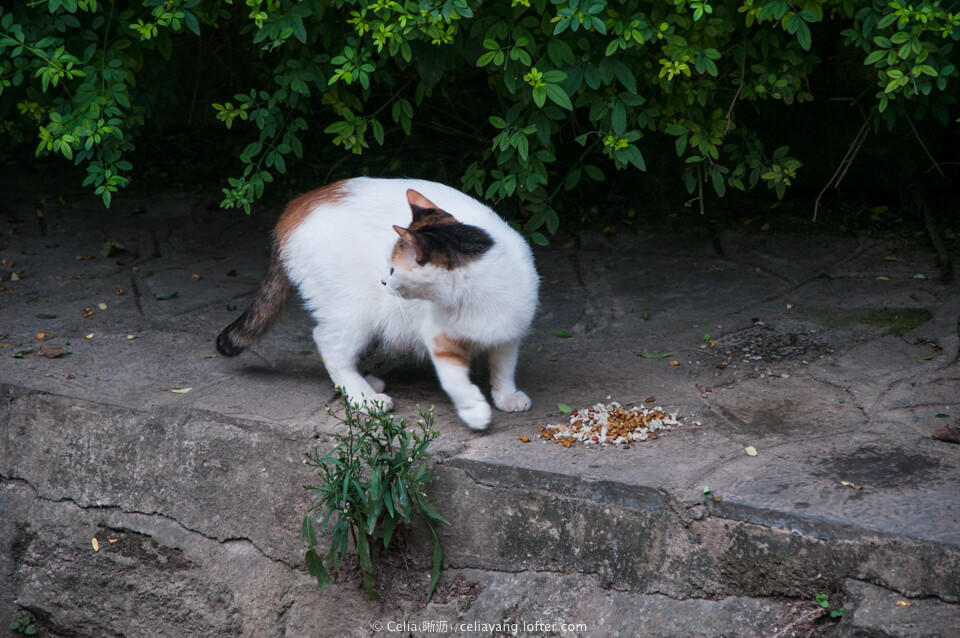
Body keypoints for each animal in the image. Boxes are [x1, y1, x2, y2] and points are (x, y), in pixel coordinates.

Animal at [217, 178, 540, 432]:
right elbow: (455, 380)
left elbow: (504, 366)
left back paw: (367, 383)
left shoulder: (510, 331)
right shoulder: (438, 338)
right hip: (353, 310)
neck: (474, 299)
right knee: (329, 345)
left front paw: (506, 395)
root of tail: (300, 203)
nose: (383, 281)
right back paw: (364, 397)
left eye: (394, 268)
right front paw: (474, 411)